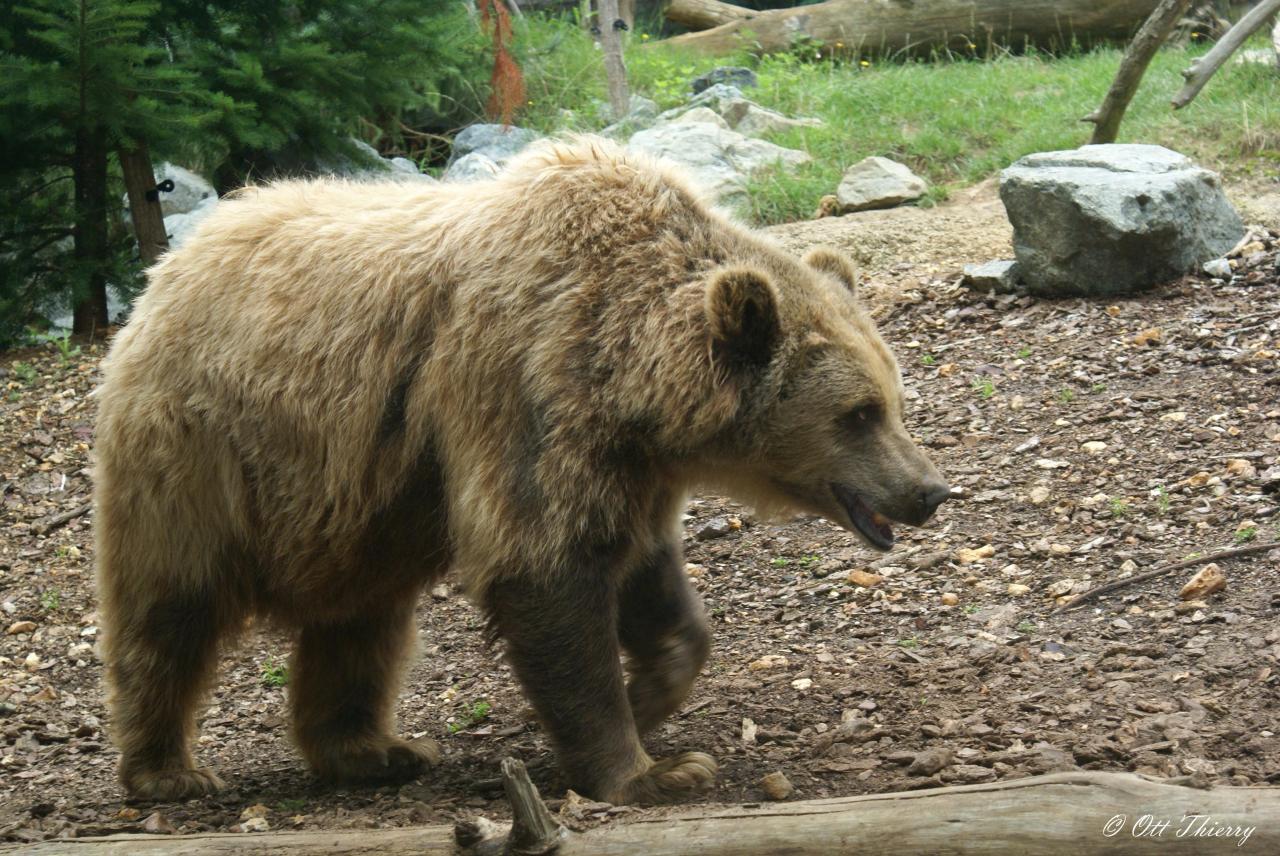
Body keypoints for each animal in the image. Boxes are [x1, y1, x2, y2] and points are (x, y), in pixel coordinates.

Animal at [92, 134, 952, 803]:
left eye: (894, 397)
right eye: (858, 414)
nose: (929, 491)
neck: (629, 376)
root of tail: (165, 270)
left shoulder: (628, 465)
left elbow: (648, 579)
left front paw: (652, 692)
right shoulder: (525, 386)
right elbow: (542, 566)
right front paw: (651, 769)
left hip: (357, 503)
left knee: (363, 621)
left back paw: (371, 750)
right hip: (203, 455)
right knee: (171, 607)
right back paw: (168, 769)